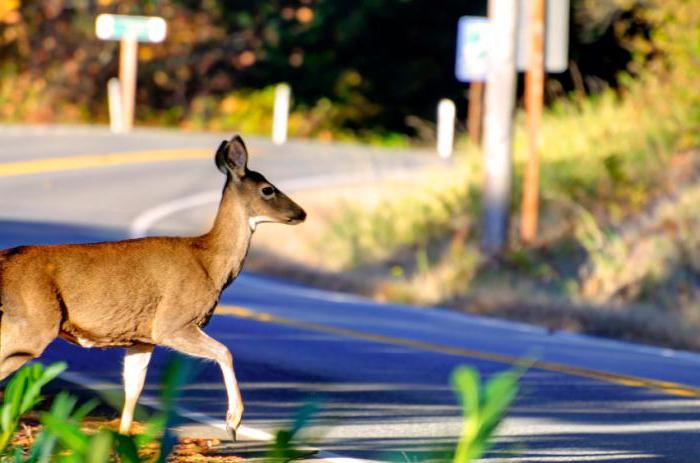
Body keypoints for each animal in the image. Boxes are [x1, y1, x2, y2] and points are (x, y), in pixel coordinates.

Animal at [0, 135, 306, 442]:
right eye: (268, 189)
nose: (301, 213)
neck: (210, 263)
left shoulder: (141, 336)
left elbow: (133, 388)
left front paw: (124, 438)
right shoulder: (173, 322)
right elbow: (224, 351)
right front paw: (233, 422)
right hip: (33, 323)